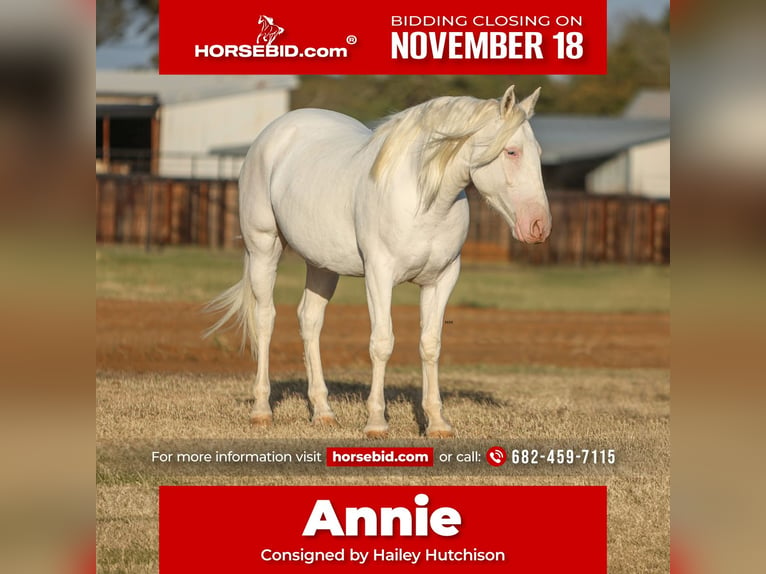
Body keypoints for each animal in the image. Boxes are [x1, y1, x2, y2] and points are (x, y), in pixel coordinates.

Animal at [204, 85, 552, 438]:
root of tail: (275, 131)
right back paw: (262, 411)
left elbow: (431, 344)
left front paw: (437, 423)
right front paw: (376, 422)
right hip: (263, 247)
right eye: (512, 152)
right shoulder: (379, 276)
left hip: (322, 266)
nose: (539, 227)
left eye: (537, 152)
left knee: (310, 321)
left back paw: (323, 412)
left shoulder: (442, 279)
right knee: (265, 320)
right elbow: (382, 343)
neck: (424, 200)